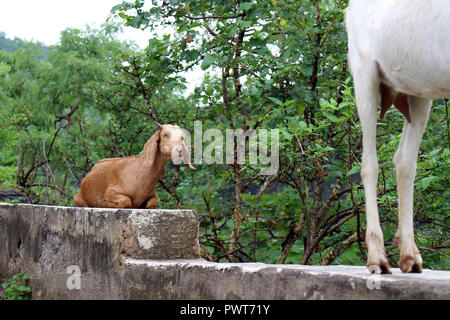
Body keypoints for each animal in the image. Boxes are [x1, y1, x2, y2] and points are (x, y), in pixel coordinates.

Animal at [346, 0, 448, 276]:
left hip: (420, 90)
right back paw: (378, 259)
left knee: (405, 161)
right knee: (369, 163)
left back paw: (410, 257)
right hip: (364, 74)